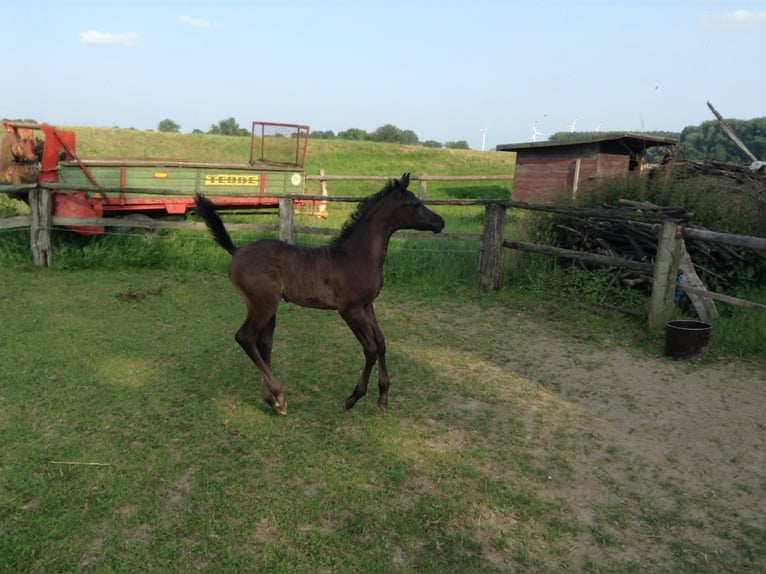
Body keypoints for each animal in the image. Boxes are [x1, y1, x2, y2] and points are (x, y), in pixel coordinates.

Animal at [195, 173, 448, 416]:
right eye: (415, 205)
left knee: (263, 342)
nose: (441, 221)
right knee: (245, 337)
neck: (357, 256)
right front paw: (352, 398)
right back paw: (279, 396)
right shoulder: (350, 310)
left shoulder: (367, 306)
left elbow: (381, 342)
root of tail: (236, 250)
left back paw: (273, 401)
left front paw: (383, 397)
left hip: (269, 306)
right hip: (262, 304)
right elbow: (370, 349)